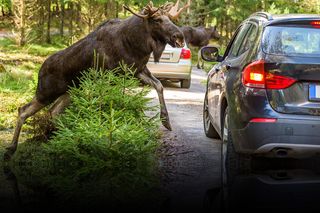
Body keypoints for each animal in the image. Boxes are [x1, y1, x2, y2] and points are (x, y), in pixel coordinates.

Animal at [4, 0, 190, 160]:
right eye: (157, 20)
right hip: (46, 92)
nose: (179, 37)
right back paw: (12, 149)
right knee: (23, 110)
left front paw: (166, 121)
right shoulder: (110, 74)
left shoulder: (137, 70)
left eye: (171, 18)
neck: (136, 44)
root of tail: (39, 71)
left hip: (70, 91)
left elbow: (159, 86)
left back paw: (69, 136)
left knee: (53, 112)